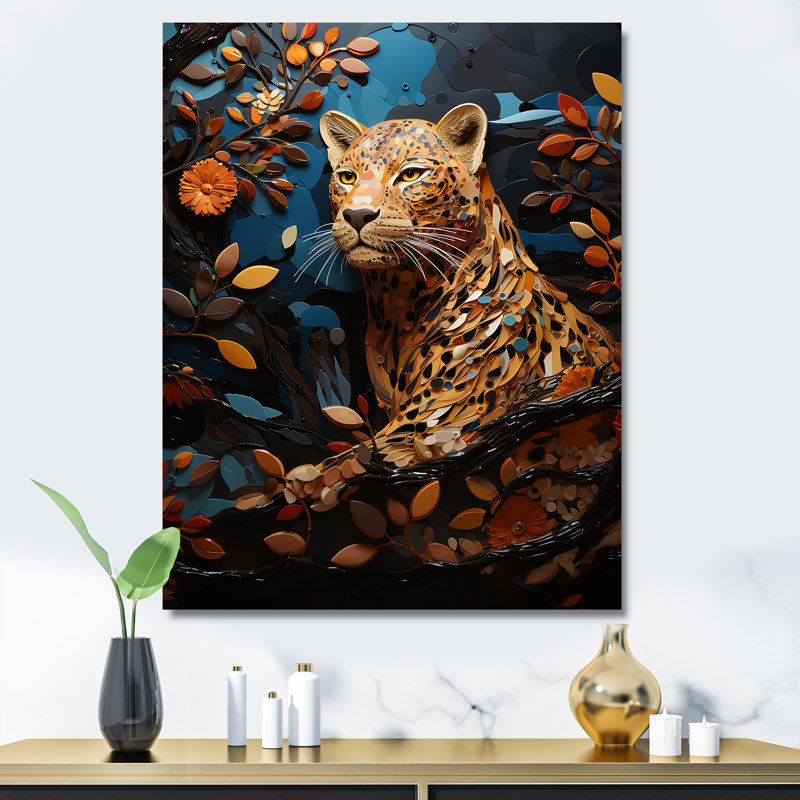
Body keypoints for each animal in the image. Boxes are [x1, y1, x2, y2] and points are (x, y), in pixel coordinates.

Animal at [312, 103, 617, 470]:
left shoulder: (429, 428)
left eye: (411, 175)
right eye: (347, 178)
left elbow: (319, 472)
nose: (357, 215)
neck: (399, 302)